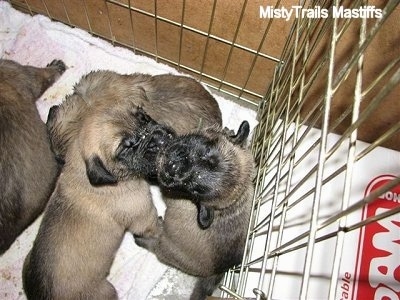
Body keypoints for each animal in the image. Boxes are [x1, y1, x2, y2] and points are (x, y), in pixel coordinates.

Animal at [136, 120, 255, 298]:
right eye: (207, 151)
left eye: (195, 189)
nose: (174, 167)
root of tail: (219, 270)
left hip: (168, 250)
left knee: (156, 247)